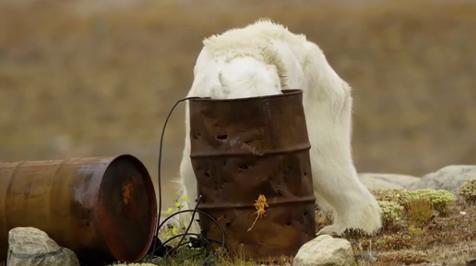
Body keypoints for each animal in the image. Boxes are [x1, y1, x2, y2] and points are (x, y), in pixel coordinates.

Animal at [179, 20, 384, 235]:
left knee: (326, 164)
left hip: (320, 103)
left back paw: (343, 227)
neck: (242, 56)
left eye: (273, 106)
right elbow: (191, 172)